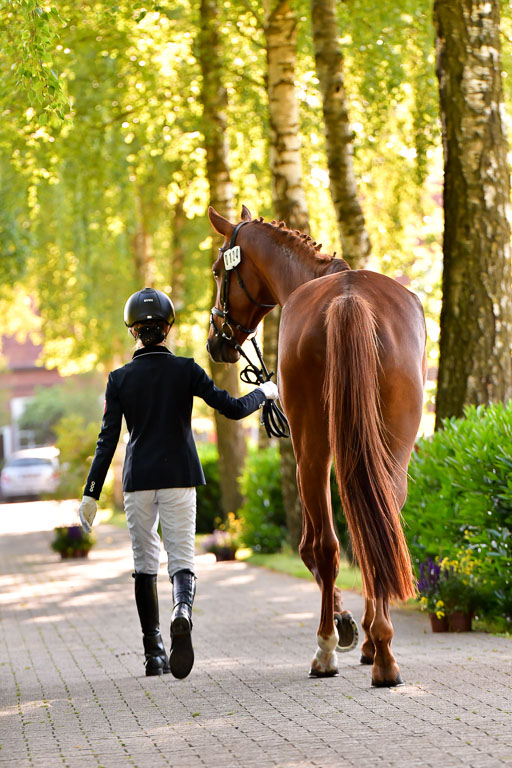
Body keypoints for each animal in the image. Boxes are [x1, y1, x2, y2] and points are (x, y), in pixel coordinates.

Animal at [206, 205, 427, 687]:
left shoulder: (306, 454)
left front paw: (343, 625)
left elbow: (311, 547)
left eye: (217, 270)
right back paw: (383, 653)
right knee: (379, 528)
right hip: (390, 450)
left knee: (327, 547)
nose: (216, 341)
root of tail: (349, 299)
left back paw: (327, 649)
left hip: (311, 449)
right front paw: (366, 636)